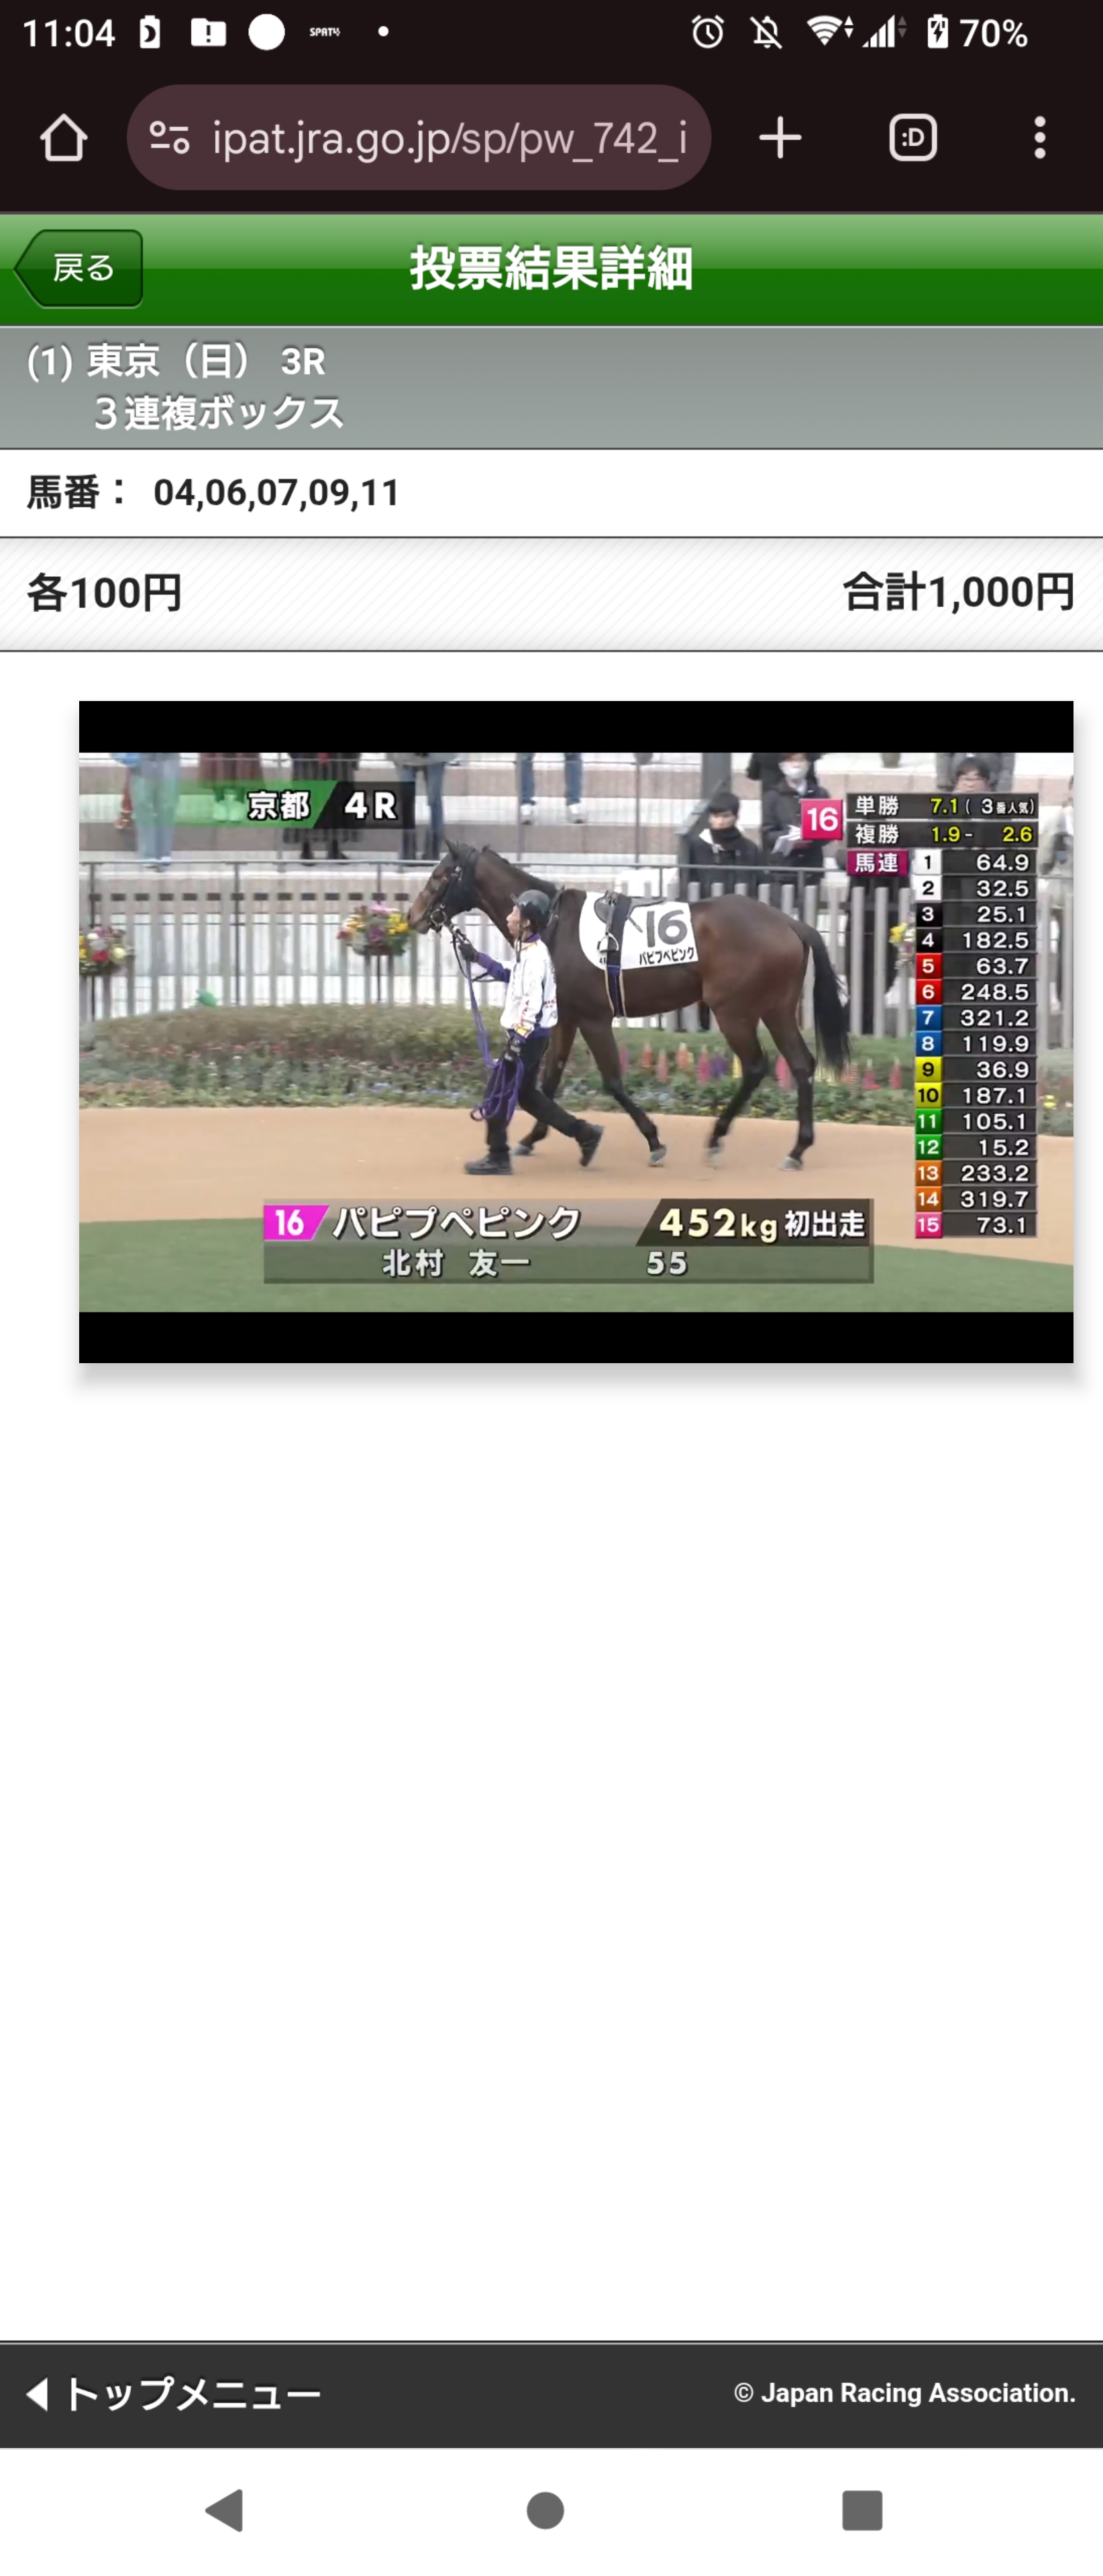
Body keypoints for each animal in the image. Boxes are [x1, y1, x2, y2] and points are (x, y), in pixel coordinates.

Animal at [407, 841, 849, 1169]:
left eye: (440, 875)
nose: (413, 916)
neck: (553, 925)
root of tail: (789, 922)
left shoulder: (594, 1018)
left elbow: (613, 1082)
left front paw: (652, 1140)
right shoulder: (566, 1017)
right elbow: (548, 1081)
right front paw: (534, 1138)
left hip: (733, 1011)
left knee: (757, 1066)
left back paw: (718, 1137)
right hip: (776, 1009)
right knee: (801, 1065)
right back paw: (797, 1148)